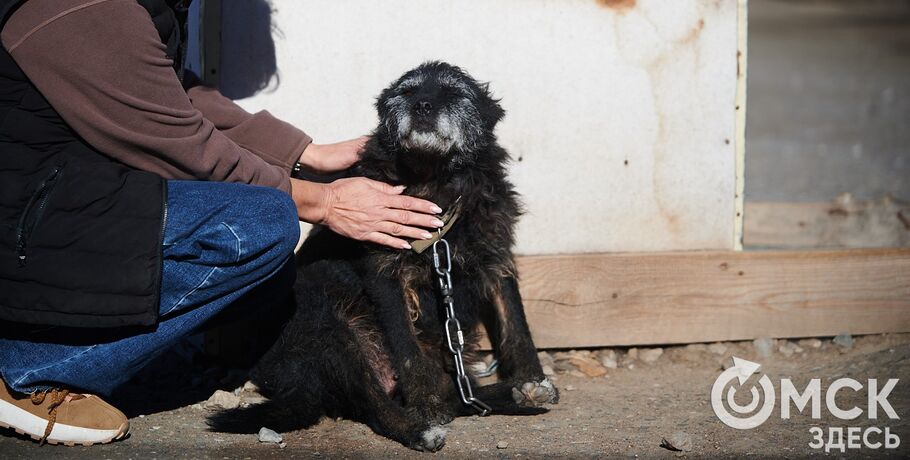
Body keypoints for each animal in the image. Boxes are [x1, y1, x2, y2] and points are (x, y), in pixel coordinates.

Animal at [210, 62, 560, 452]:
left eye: (454, 92)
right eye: (407, 91)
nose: (422, 106)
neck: (434, 181)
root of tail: (296, 383)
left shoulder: (495, 258)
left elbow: (516, 324)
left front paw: (532, 379)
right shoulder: (386, 274)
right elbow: (407, 350)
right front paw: (425, 406)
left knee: (454, 394)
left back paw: (508, 394)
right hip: (328, 329)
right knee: (371, 402)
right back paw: (418, 429)